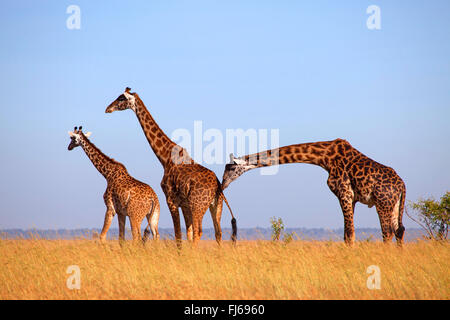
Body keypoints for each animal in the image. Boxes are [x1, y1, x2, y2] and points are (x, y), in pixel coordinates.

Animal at [105, 87, 237, 248]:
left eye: (121, 98)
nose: (108, 109)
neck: (165, 157)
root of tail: (218, 186)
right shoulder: (185, 204)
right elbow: (187, 233)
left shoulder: (171, 199)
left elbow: (178, 234)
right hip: (216, 206)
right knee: (218, 232)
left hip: (198, 205)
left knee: (199, 231)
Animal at [222, 139, 408, 246]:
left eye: (230, 168)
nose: (222, 184)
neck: (324, 158)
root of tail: (402, 185)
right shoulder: (352, 198)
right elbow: (347, 233)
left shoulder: (344, 193)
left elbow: (349, 234)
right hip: (394, 205)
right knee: (399, 230)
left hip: (382, 203)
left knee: (387, 233)